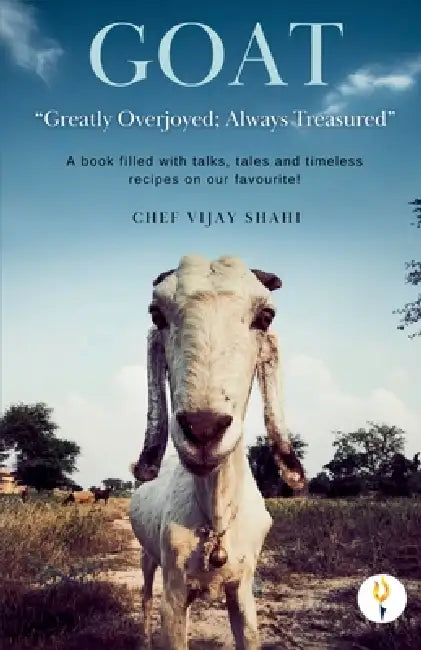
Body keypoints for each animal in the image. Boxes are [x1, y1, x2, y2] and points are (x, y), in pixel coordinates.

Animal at [129, 255, 305, 650]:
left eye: (265, 316)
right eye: (156, 314)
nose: (203, 428)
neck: (216, 519)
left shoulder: (242, 586)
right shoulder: (174, 592)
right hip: (148, 558)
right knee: (145, 596)